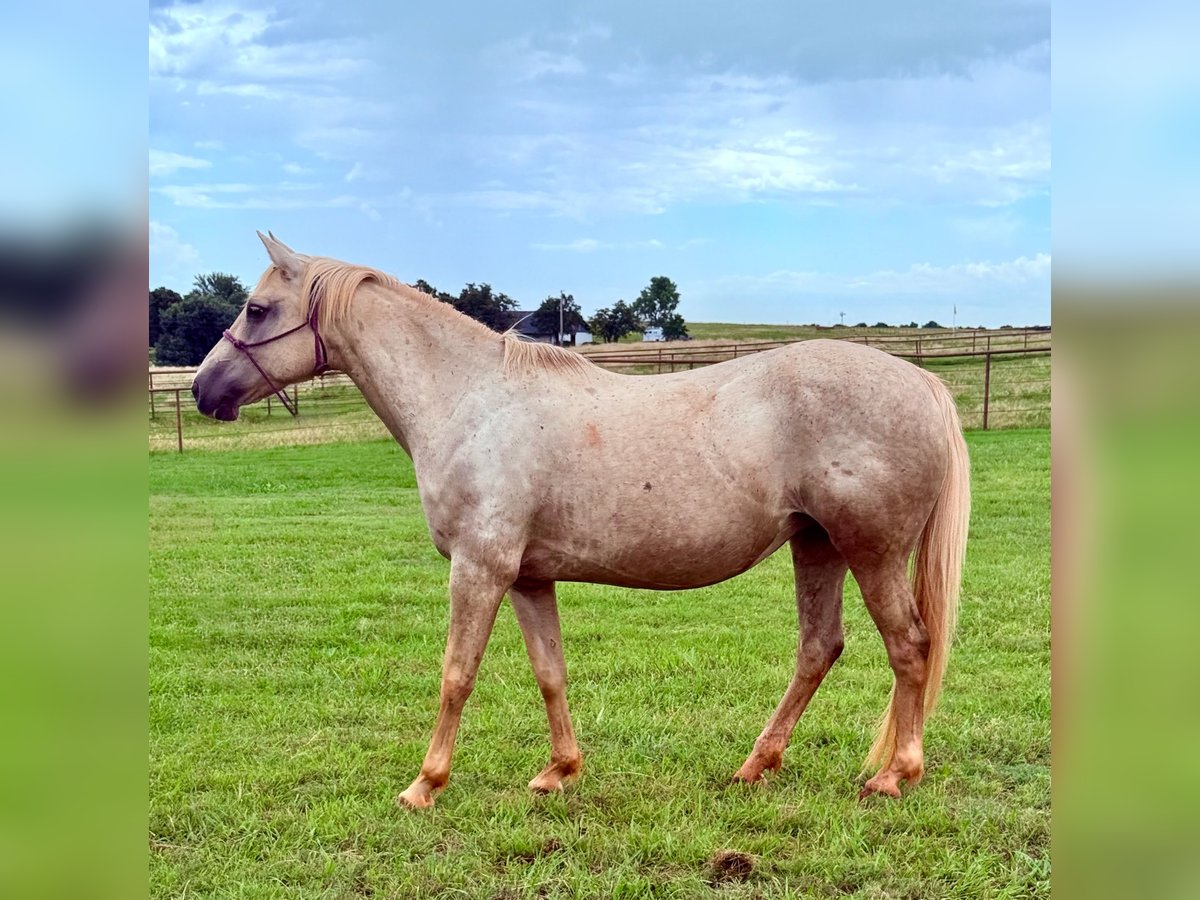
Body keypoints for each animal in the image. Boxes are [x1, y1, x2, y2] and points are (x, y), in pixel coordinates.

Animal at [192, 232, 970, 809]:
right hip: (817, 545)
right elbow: (550, 672)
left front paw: (424, 785)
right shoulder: (528, 578)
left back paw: (893, 776)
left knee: (909, 648)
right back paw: (756, 766)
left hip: (870, 551)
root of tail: (923, 383)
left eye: (257, 309)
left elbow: (456, 674)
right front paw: (558, 771)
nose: (203, 389)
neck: (472, 401)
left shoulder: (480, 568)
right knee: (819, 648)